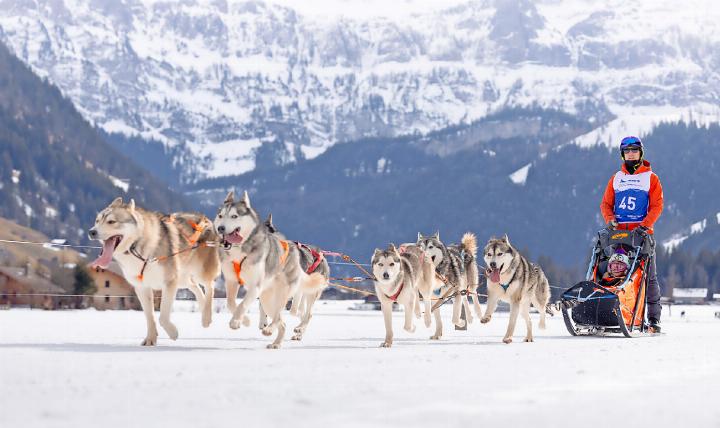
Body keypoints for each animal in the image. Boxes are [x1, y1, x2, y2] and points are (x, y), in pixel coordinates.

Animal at [88, 199, 217, 346]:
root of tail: (205, 219)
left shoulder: (169, 283)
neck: (136, 248)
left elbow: (163, 317)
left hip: (200, 271)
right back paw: (202, 306)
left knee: (210, 286)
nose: (91, 232)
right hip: (181, 278)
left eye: (111, 221)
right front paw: (150, 339)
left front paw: (173, 333)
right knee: (195, 286)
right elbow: (149, 317)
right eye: (97, 221)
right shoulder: (142, 288)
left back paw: (206, 317)